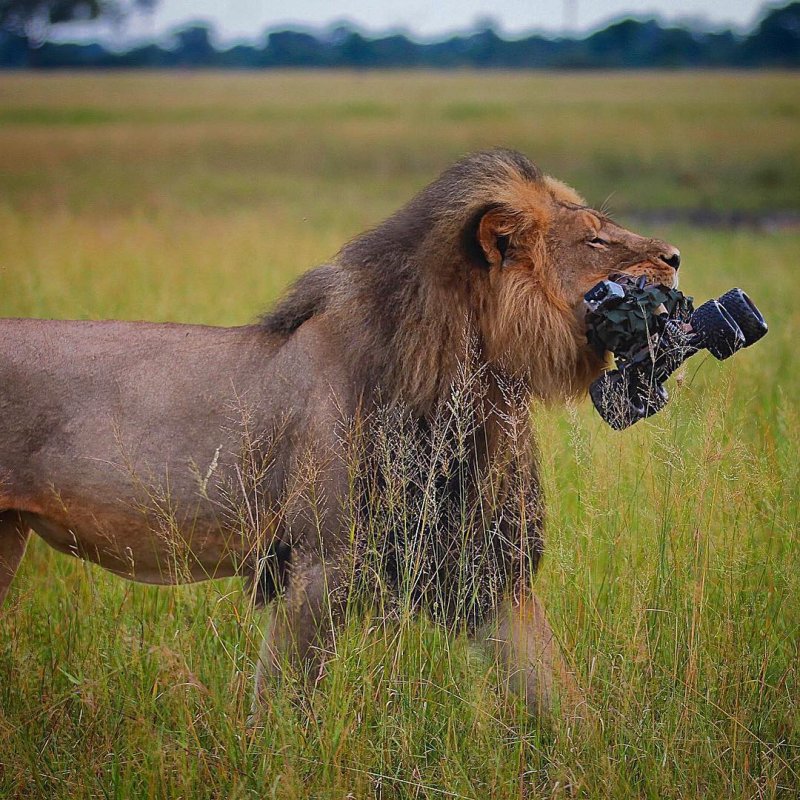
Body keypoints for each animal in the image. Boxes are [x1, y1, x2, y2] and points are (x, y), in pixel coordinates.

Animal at [0, 150, 680, 720]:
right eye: (594, 238)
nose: (675, 256)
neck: (472, 381)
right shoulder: (320, 564)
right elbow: (282, 707)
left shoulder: (481, 569)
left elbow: (561, 696)